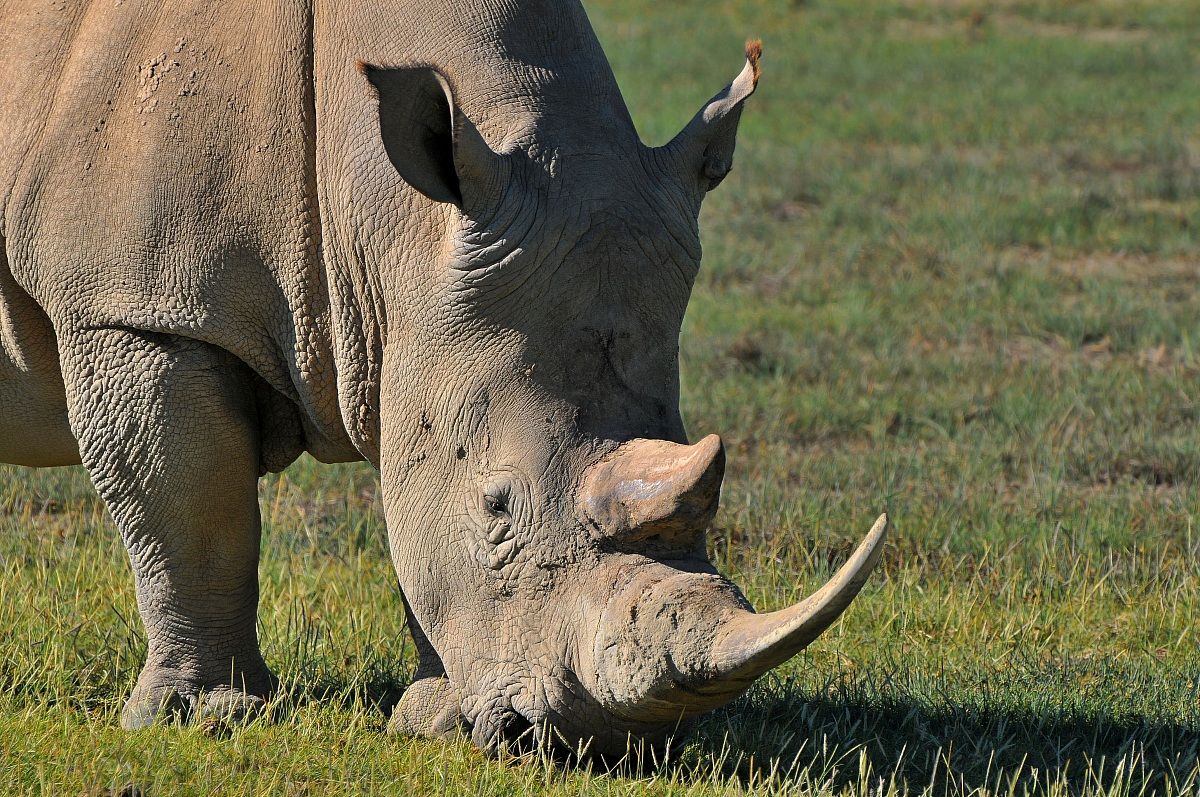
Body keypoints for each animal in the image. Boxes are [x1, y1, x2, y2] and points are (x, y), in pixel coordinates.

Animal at [0, 0, 887, 758]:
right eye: (497, 507)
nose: (588, 741)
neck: (385, 216)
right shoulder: (134, 306)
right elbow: (190, 514)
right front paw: (204, 718)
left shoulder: (421, 319)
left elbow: (411, 521)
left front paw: (438, 720)